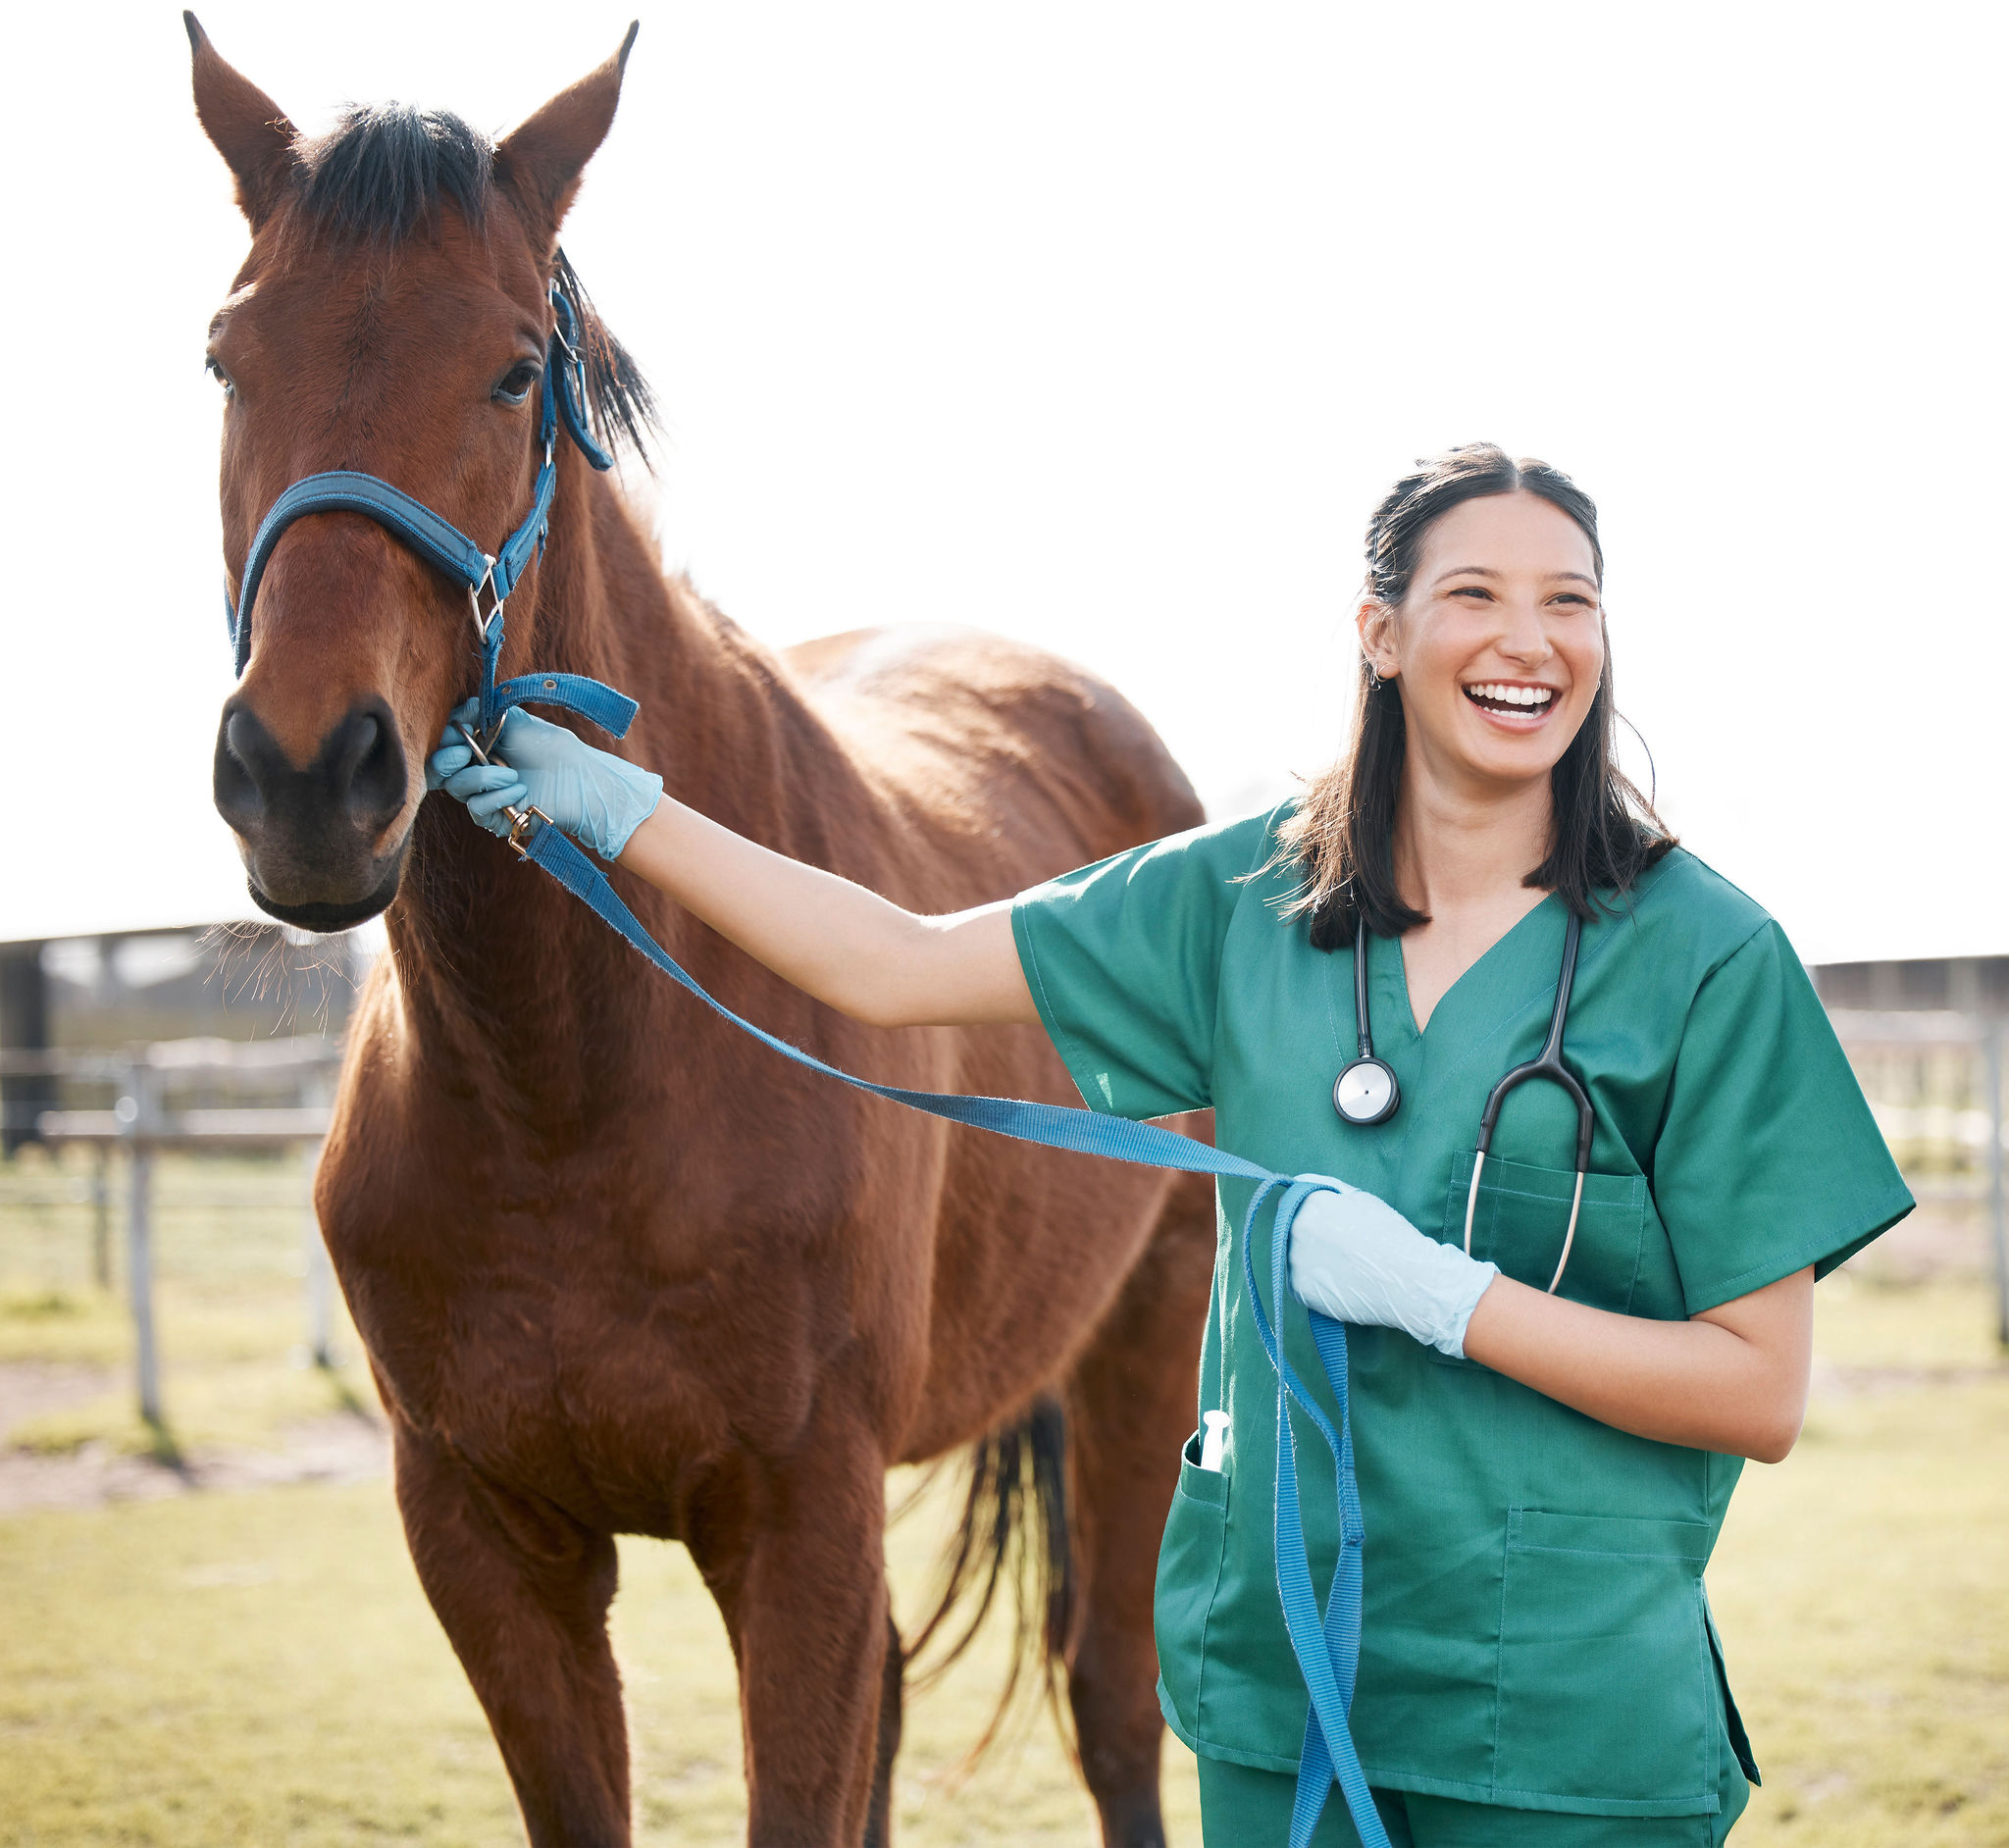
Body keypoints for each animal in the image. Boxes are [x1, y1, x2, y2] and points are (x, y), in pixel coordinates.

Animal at [188, 19, 1216, 1847]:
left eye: (512, 372)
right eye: (230, 359)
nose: (306, 773)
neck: (569, 1083)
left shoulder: (796, 1528)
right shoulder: (488, 1545)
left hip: (1139, 1352)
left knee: (1110, 1696)